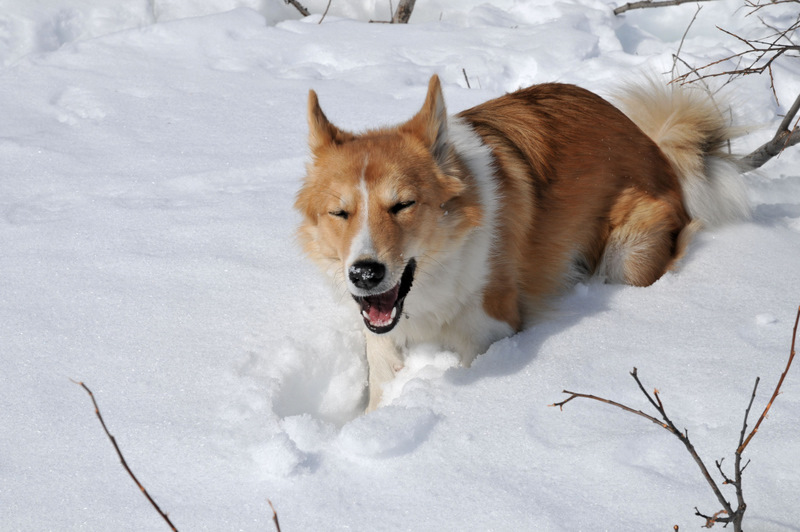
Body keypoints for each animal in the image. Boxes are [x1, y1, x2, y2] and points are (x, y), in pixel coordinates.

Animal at [296, 75, 752, 412]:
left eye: (402, 205)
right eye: (340, 213)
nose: (364, 274)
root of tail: (656, 146)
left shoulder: (490, 329)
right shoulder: (380, 336)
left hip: (628, 253)